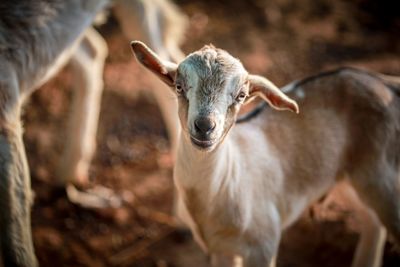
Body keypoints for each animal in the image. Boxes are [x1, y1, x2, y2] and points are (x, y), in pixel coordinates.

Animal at [0, 1, 187, 266]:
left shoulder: (6, 106)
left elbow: (17, 243)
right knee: (92, 49)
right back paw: (69, 174)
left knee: (168, 64)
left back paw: (184, 220)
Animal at [131, 40, 400, 267]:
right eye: (179, 86)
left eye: (241, 95)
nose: (205, 127)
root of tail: (385, 83)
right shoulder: (220, 250)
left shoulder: (263, 245)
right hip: (347, 179)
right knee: (373, 222)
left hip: (383, 177)